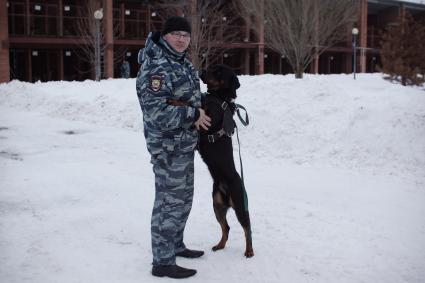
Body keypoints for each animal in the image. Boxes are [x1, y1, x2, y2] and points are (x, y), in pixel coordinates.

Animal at [198, 65, 253, 260]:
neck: (219, 97)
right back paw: (219, 245)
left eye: (219, 72)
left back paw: (249, 251)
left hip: (240, 205)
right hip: (217, 205)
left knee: (247, 227)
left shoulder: (204, 123)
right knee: (226, 227)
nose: (201, 70)